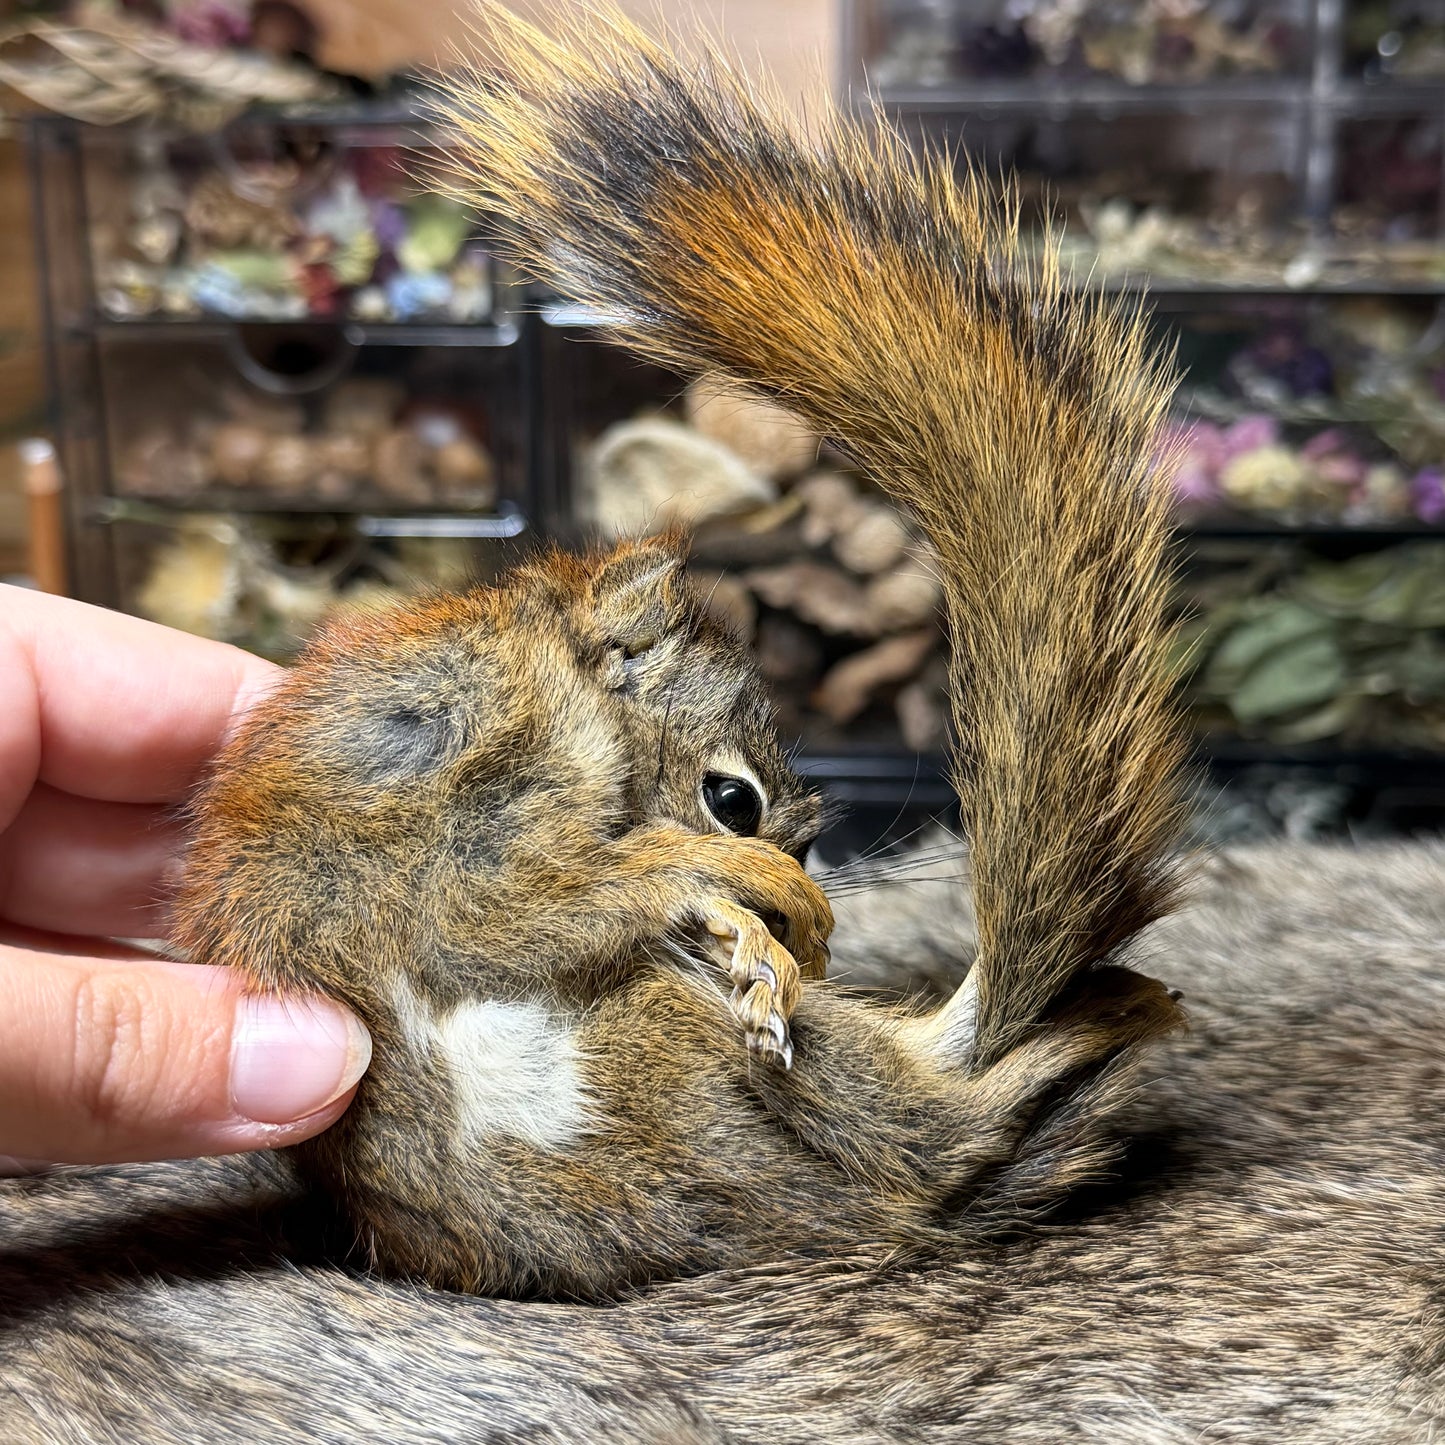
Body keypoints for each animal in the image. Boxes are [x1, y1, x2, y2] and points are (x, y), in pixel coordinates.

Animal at [172, 2, 1188, 1301]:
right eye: (732, 798)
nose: (811, 926)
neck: (547, 660)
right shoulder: (495, 781)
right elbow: (495, 912)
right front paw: (735, 892)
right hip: (667, 1052)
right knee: (936, 1124)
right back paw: (1094, 1022)